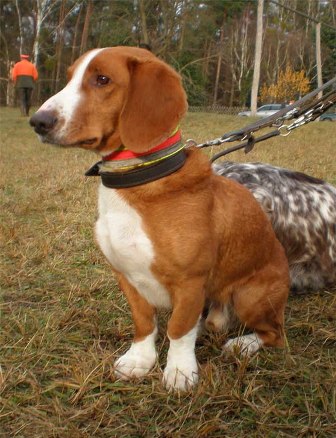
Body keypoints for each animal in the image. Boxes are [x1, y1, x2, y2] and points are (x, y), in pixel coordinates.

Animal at [30, 47, 288, 390]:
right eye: (70, 76)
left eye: (102, 79)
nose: (37, 121)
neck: (138, 182)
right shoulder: (126, 276)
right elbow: (144, 323)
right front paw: (141, 360)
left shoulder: (189, 282)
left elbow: (178, 329)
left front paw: (179, 370)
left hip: (249, 296)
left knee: (275, 334)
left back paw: (243, 344)